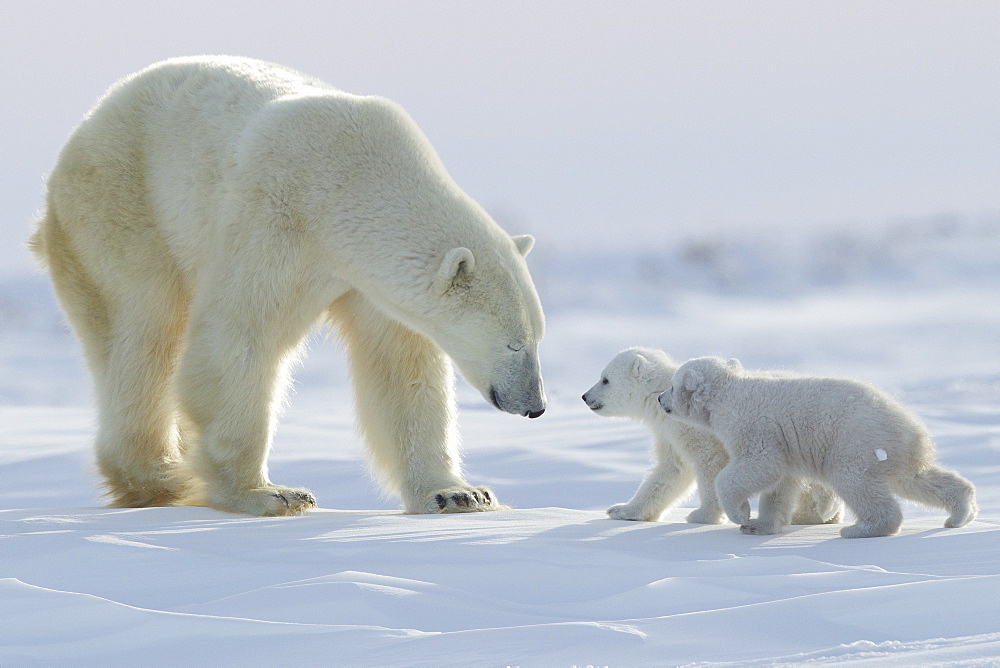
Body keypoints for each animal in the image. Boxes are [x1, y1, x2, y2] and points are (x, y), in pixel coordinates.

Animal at [33, 57, 548, 516]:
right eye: (513, 344)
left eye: (537, 339)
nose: (536, 407)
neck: (352, 179)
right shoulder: (277, 217)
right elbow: (238, 338)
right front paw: (269, 494)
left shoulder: (367, 280)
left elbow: (401, 367)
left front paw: (459, 494)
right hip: (120, 205)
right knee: (145, 329)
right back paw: (161, 477)